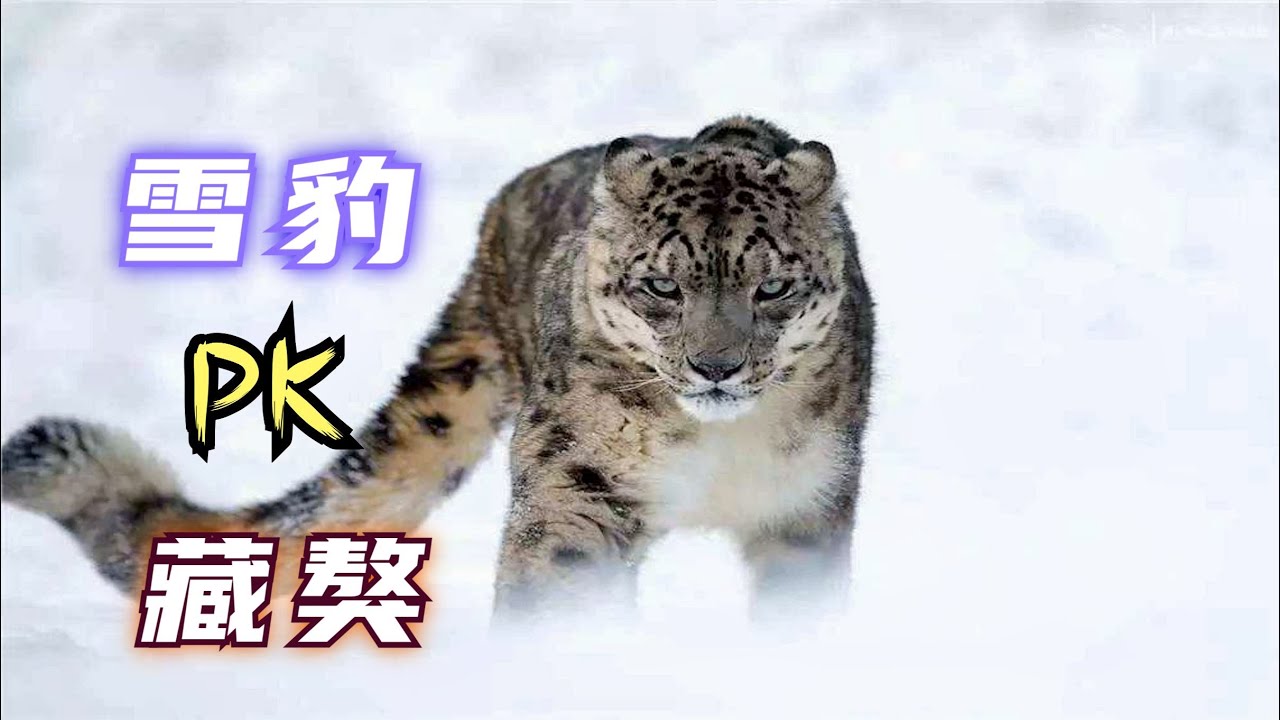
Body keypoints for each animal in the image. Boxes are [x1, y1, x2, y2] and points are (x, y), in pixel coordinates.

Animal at [1, 116, 875, 619]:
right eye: (662, 285)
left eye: (773, 287)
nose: (716, 367)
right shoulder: (577, 484)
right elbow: (560, 583)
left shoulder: (807, 508)